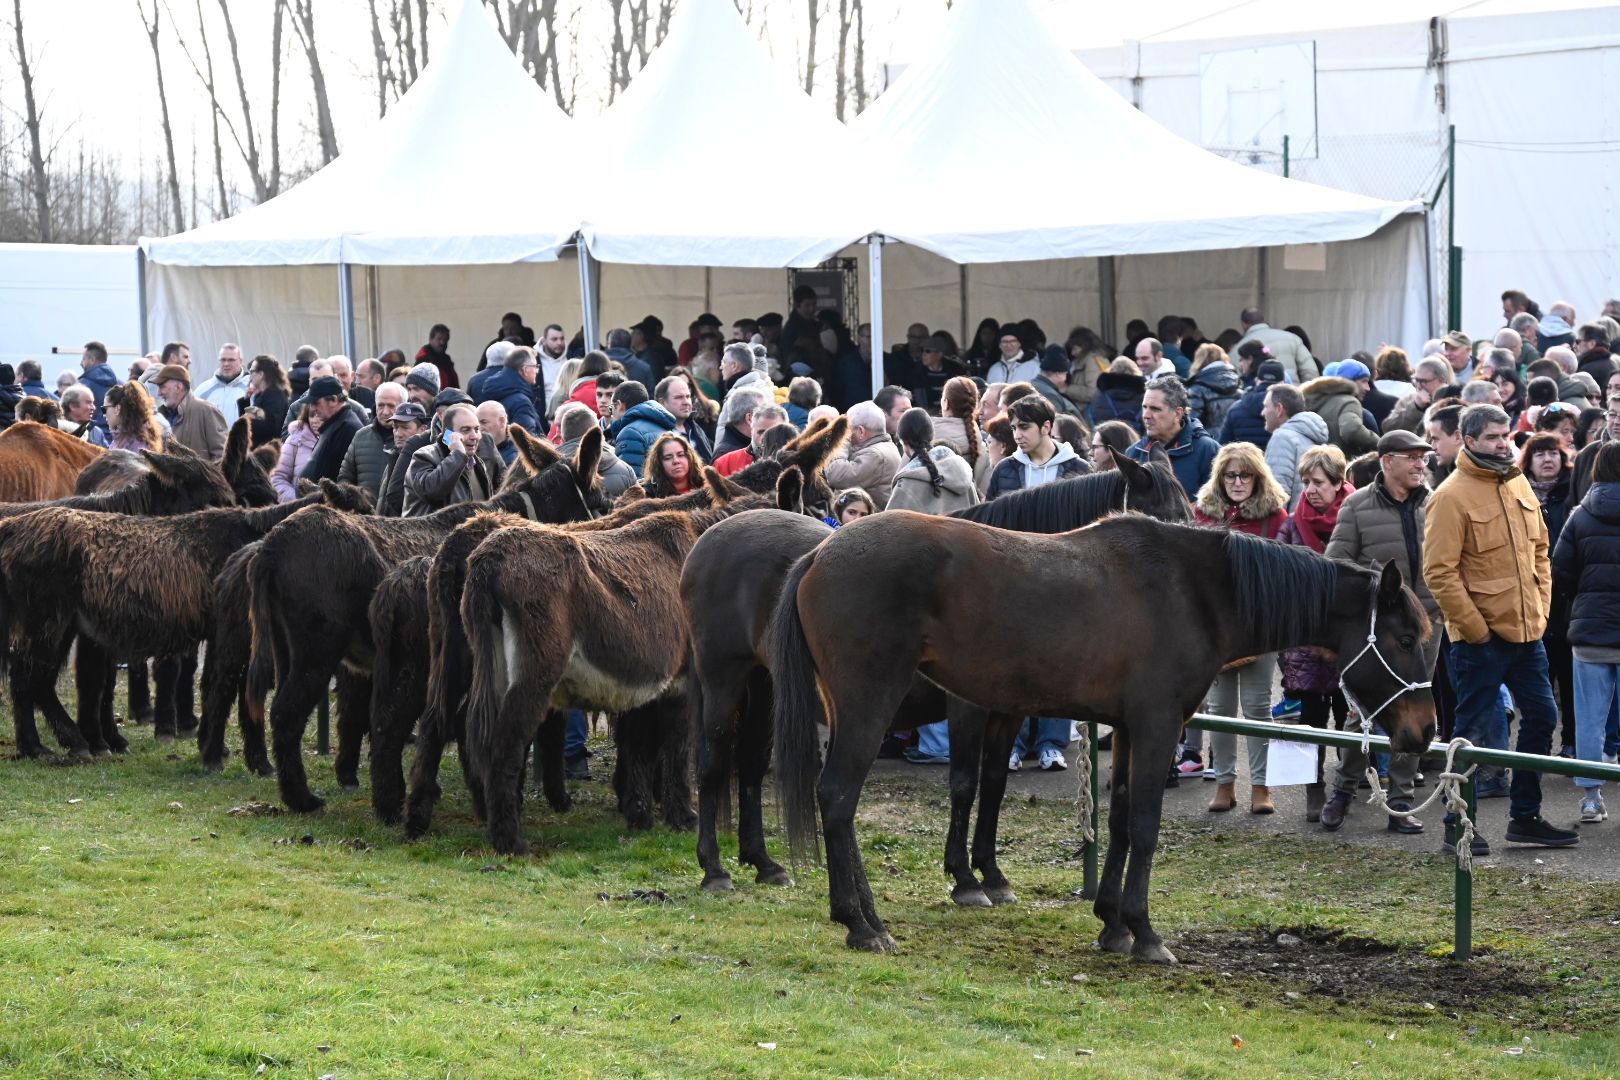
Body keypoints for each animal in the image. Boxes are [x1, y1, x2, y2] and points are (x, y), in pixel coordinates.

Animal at [249, 427, 609, 816]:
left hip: (287, 649)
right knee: (286, 715)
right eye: (603, 504)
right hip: (318, 650)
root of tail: (272, 545)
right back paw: (303, 800)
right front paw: (553, 796)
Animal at [683, 453, 1192, 893]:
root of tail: (712, 537)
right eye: (1164, 515)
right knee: (713, 762)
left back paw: (762, 861)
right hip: (724, 680)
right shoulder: (966, 709)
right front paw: (965, 877)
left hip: (765, 687)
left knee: (750, 764)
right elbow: (964, 784)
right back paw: (714, 868)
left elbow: (993, 784)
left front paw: (991, 872)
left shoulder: (1006, 712)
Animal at [767, 518, 1432, 965]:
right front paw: (1144, 932)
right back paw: (863, 924)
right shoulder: (1160, 725)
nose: (1423, 734)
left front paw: (1111, 923)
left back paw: (855, 913)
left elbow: (1117, 820)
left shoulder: (1132, 728)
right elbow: (1144, 824)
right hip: (868, 705)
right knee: (838, 798)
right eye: (1404, 638)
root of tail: (821, 551)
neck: (1194, 592)